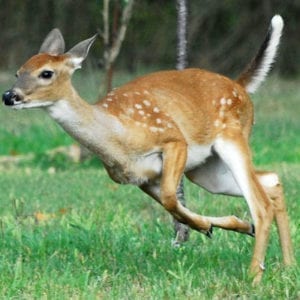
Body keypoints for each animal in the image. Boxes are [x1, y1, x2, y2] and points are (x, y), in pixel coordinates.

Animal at [1, 15, 294, 284]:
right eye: (18, 72)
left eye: (46, 73)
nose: (9, 96)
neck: (117, 138)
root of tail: (239, 85)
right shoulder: (140, 178)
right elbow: (172, 206)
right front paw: (222, 226)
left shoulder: (173, 140)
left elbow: (170, 198)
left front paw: (210, 227)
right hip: (204, 171)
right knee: (272, 180)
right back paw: (287, 264)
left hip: (232, 137)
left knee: (261, 204)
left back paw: (255, 274)